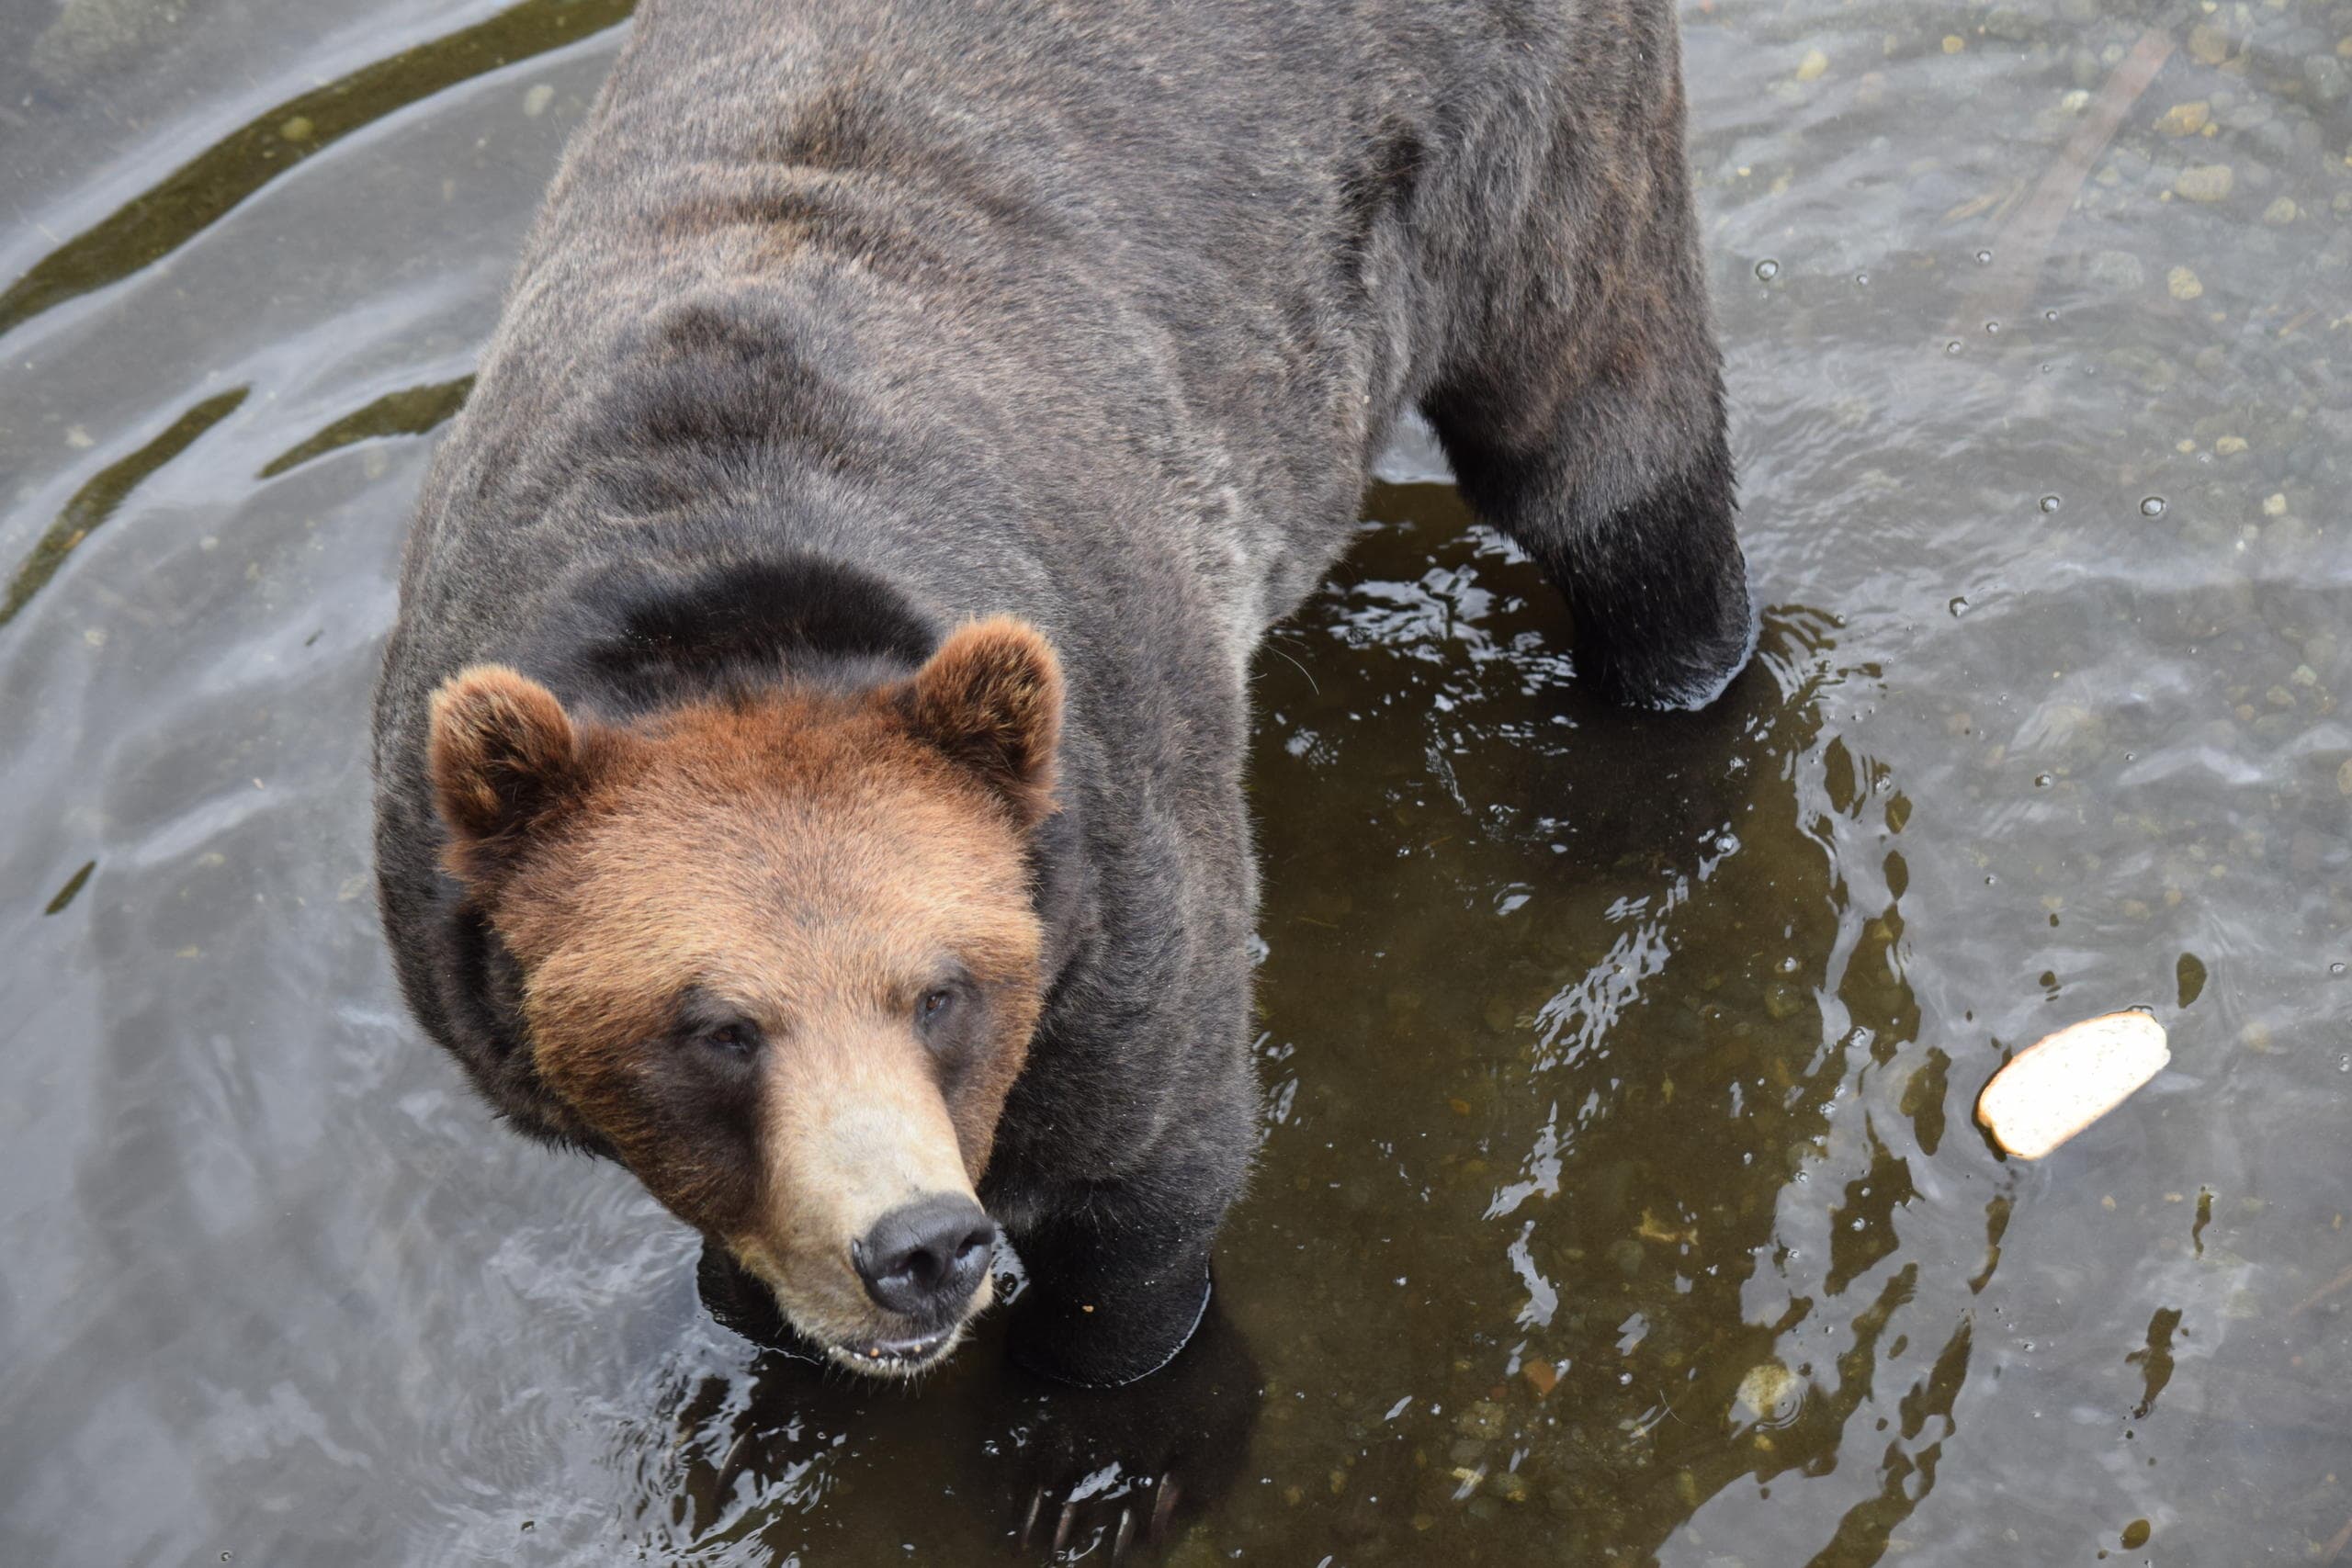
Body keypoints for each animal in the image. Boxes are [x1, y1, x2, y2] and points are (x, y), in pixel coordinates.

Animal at [372, 0, 1753, 1388]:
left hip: (1526, 165)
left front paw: (1110, 1405)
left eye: (940, 990)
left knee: (1612, 452)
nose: (918, 1245)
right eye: (719, 1026)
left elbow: (1142, 1188)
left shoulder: (1111, 866)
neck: (720, 573)